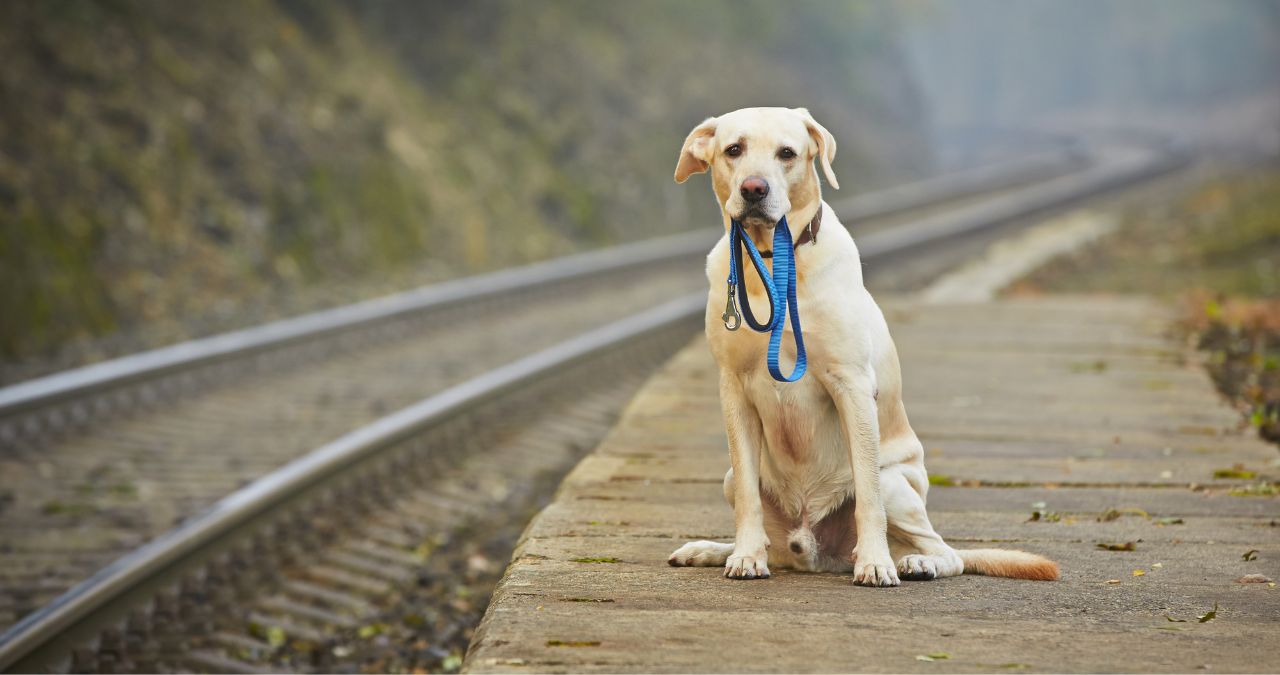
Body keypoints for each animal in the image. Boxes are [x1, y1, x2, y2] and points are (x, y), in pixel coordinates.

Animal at [665, 106, 1054, 586]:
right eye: (733, 149)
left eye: (787, 153)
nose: (754, 188)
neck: (773, 263)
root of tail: (814, 551)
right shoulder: (733, 389)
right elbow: (749, 500)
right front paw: (745, 556)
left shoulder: (851, 385)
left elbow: (868, 495)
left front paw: (875, 562)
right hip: (730, 479)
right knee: (764, 525)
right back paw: (713, 550)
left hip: (898, 486)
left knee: (946, 551)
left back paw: (914, 562)